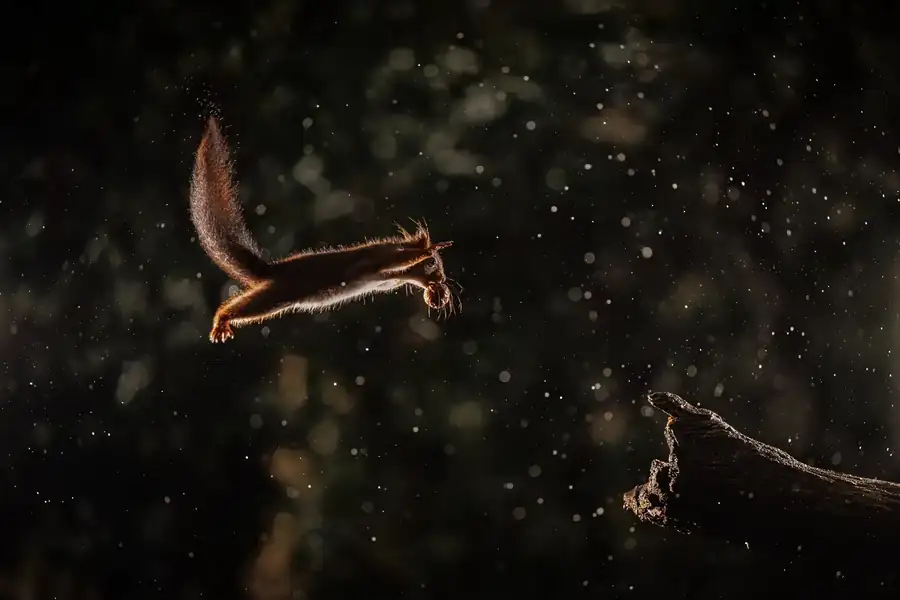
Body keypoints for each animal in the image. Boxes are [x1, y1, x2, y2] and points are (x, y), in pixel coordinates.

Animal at [189, 117, 455, 343]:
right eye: (434, 265)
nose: (442, 280)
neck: (401, 276)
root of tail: (272, 270)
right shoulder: (379, 257)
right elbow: (393, 258)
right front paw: (428, 250)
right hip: (277, 295)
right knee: (242, 306)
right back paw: (221, 319)